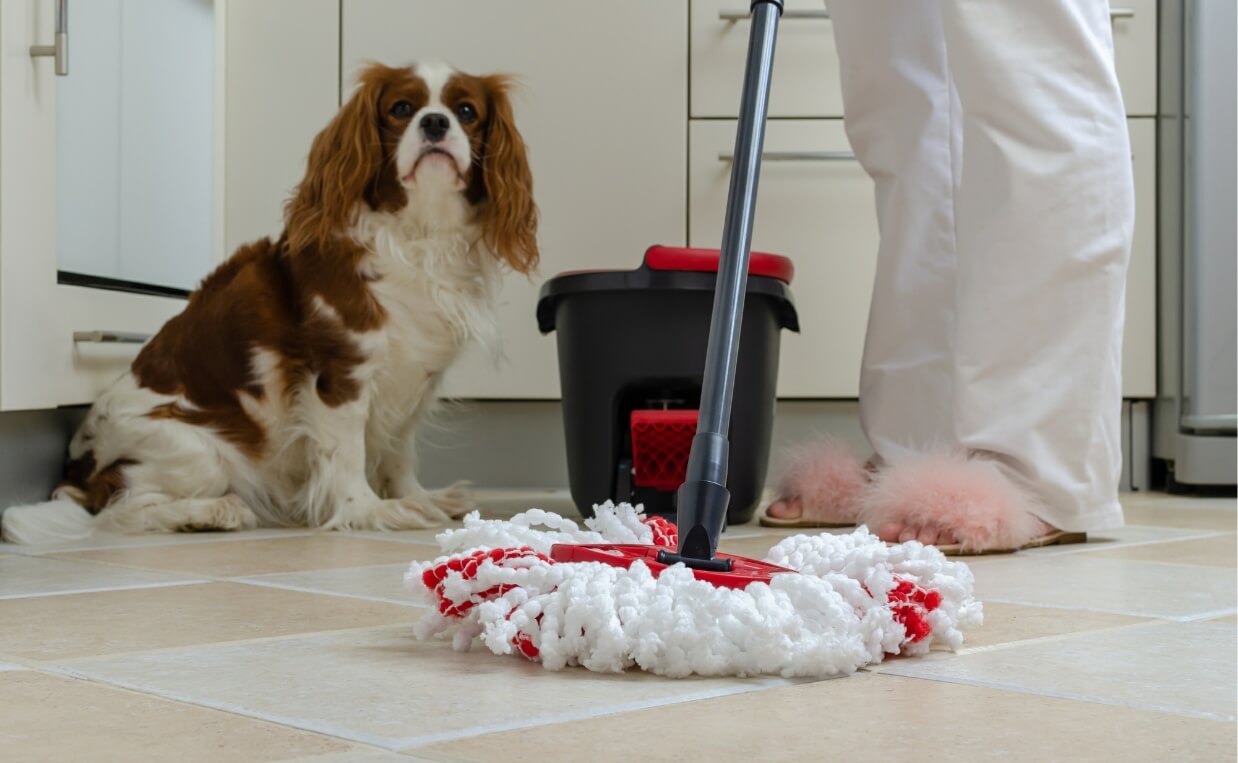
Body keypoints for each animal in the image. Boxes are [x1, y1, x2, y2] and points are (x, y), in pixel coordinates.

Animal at [4, 62, 537, 545]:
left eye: (466, 112)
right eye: (402, 109)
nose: (435, 123)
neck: (419, 234)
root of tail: (76, 473)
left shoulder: (415, 380)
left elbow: (399, 449)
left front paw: (415, 496)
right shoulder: (341, 371)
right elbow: (347, 453)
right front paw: (369, 511)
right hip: (197, 453)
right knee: (120, 508)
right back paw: (212, 512)